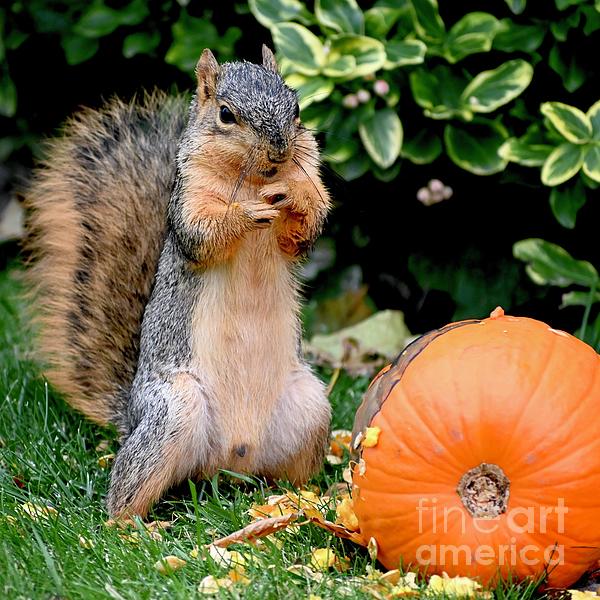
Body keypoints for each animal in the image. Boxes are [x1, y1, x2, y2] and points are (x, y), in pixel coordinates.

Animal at [24, 45, 332, 516]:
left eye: (296, 108)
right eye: (226, 114)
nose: (279, 149)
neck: (255, 181)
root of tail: (228, 463)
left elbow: (303, 229)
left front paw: (293, 196)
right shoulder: (188, 200)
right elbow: (203, 234)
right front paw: (243, 213)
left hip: (310, 409)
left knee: (284, 473)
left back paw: (302, 498)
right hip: (173, 411)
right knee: (126, 490)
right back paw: (133, 523)